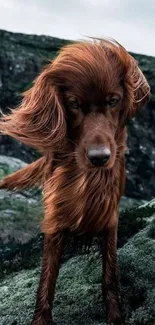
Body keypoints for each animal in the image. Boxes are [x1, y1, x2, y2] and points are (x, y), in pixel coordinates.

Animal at [0, 38, 150, 324]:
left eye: (113, 100)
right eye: (74, 104)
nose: (100, 158)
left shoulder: (110, 215)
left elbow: (110, 274)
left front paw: (115, 316)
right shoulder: (56, 216)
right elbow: (47, 277)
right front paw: (40, 318)